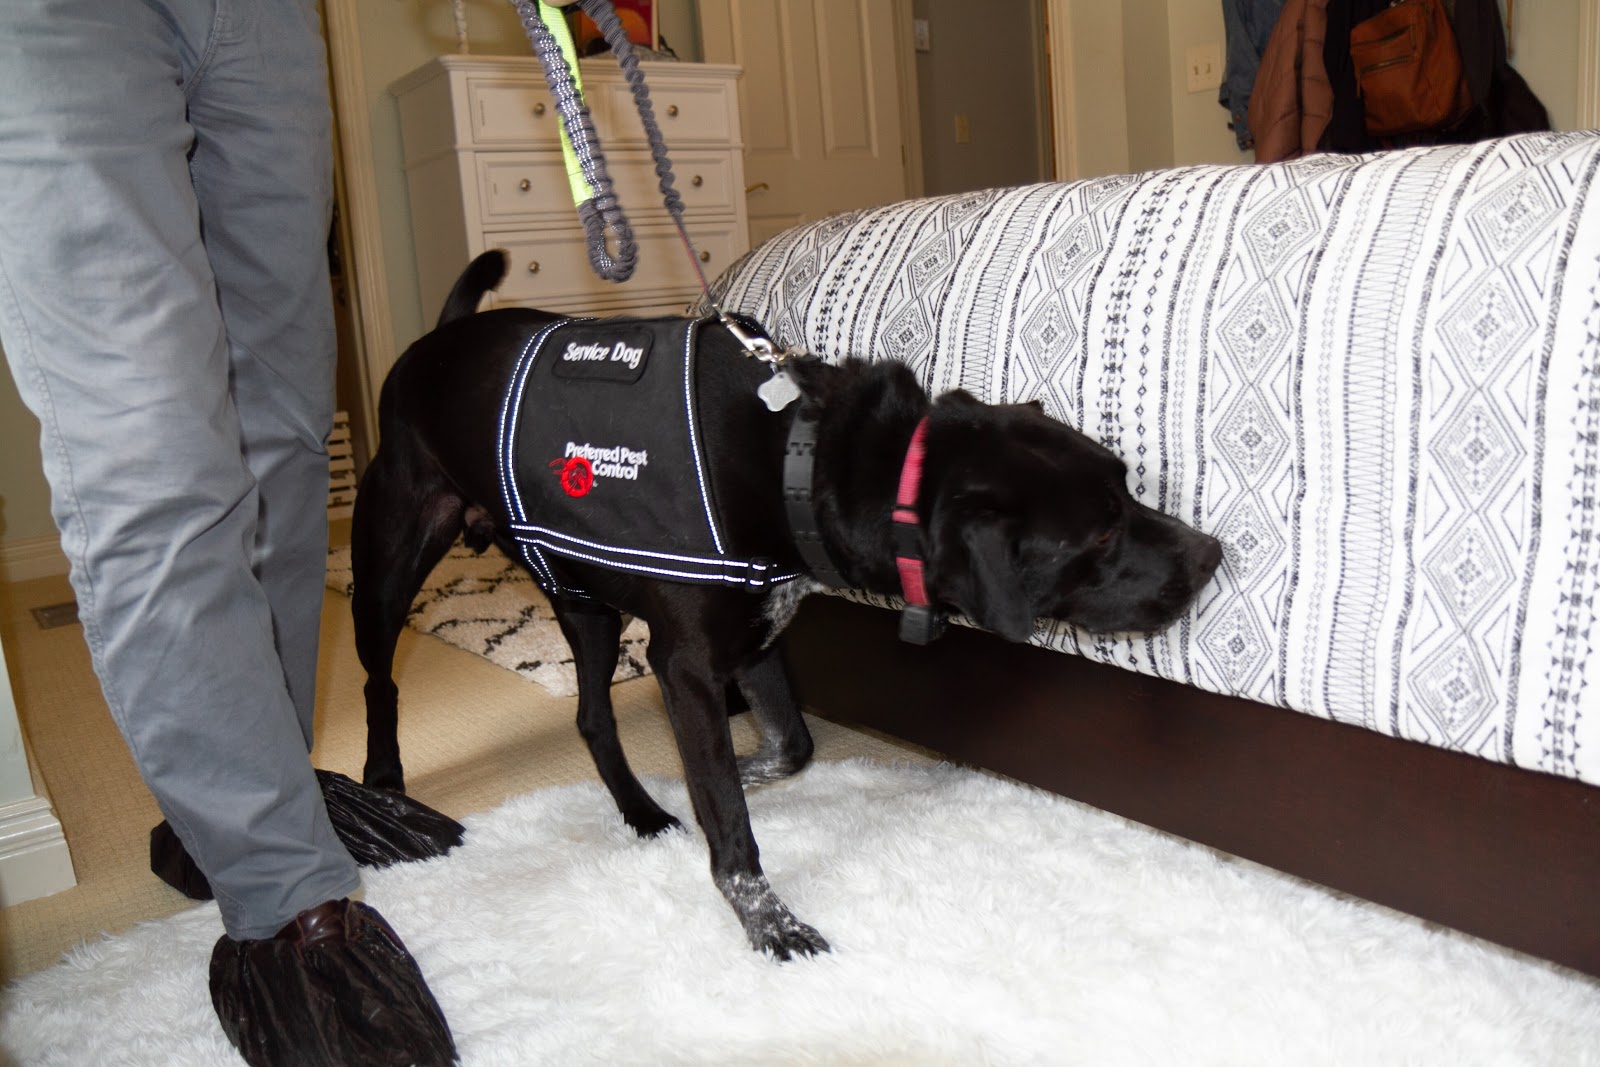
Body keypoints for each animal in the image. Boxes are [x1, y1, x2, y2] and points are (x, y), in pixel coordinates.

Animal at [353, 251, 1222, 959]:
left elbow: (791, 746)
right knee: (382, 680)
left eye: (1125, 482)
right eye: (1099, 531)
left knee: (592, 716)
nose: (1213, 555)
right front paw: (768, 920)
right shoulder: (687, 664)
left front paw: (727, 775)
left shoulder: (759, 628)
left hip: (580, 597)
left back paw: (640, 810)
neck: (803, 458)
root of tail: (435, 339)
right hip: (390, 565)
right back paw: (384, 783)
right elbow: (733, 831)